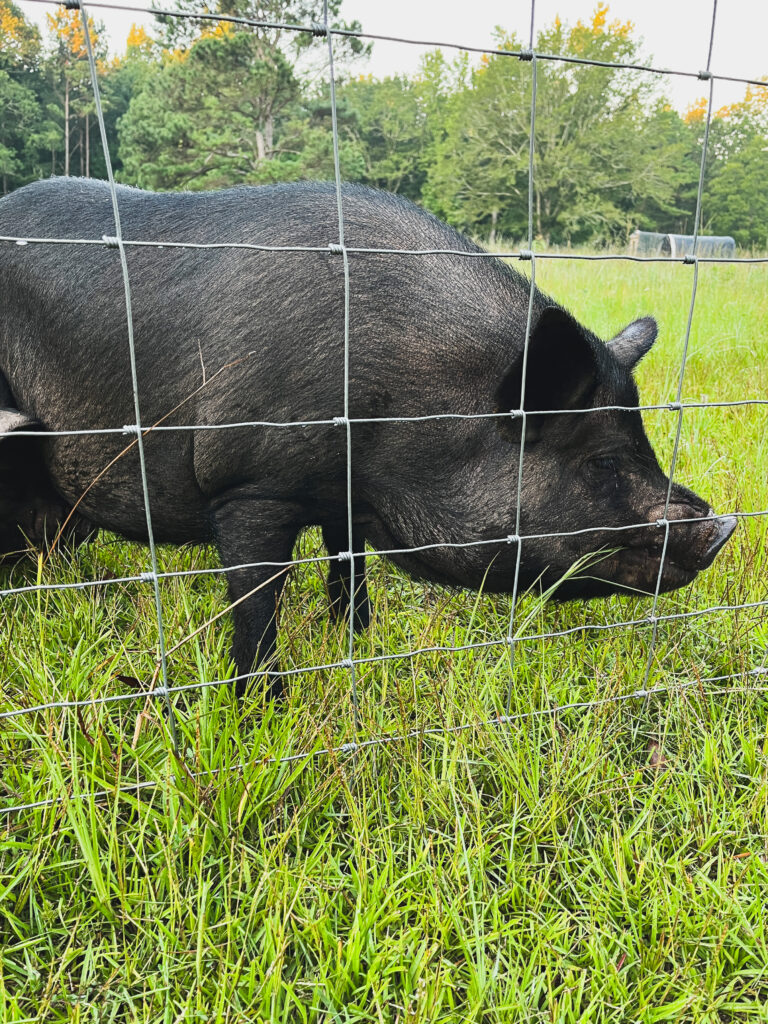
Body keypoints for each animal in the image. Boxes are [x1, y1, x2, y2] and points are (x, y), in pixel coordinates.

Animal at [0, 182, 733, 696]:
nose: (721, 527)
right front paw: (260, 708)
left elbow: (347, 572)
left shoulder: (343, 500)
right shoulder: (248, 487)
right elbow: (256, 604)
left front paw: (355, 643)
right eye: (602, 461)